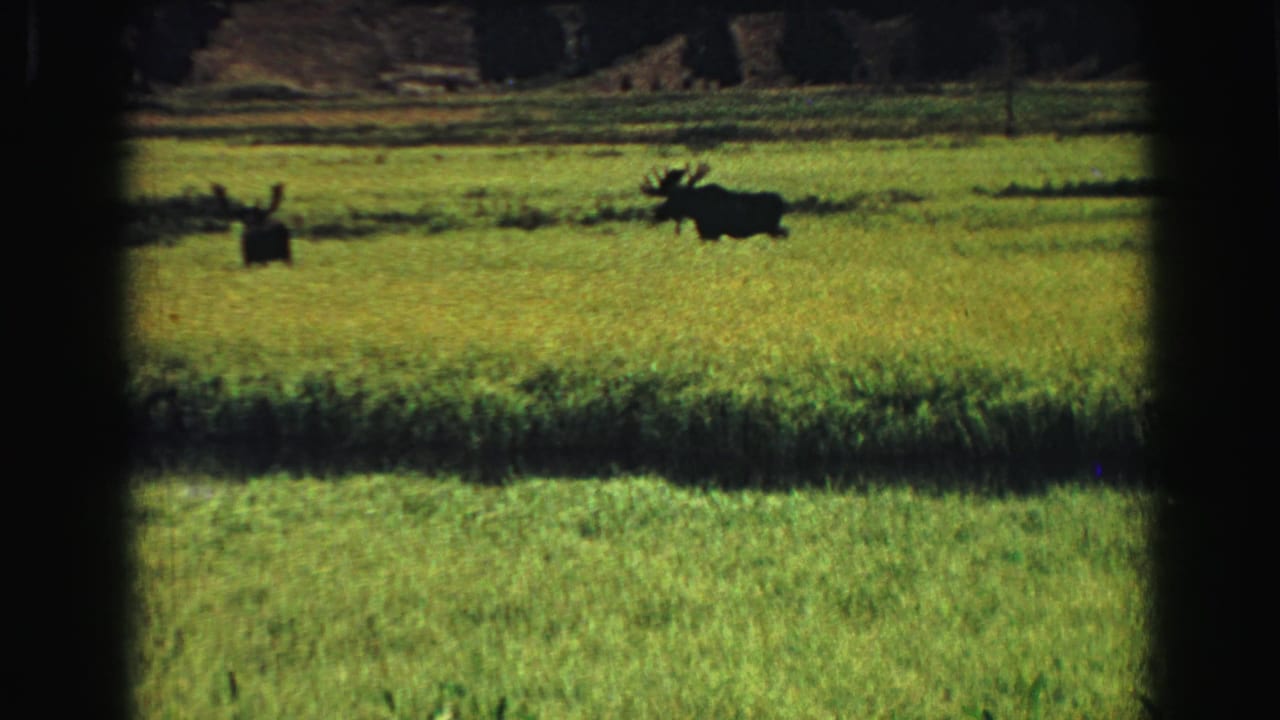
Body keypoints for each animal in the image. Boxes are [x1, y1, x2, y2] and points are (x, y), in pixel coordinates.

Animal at [640, 163, 789, 241]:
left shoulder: (712, 233)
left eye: (672, 199)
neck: (695, 211)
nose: (656, 213)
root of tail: (783, 203)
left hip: (771, 227)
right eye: (669, 197)